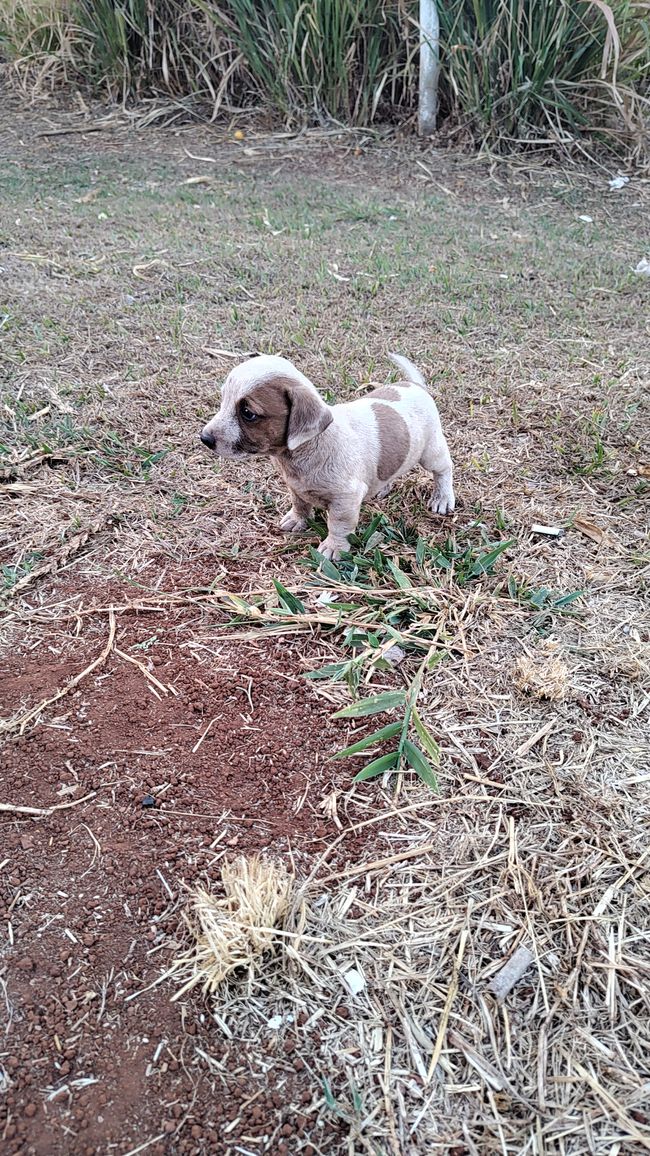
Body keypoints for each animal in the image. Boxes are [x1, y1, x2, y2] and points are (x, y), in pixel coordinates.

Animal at [200, 351, 453, 559]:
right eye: (223, 400)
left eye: (248, 413)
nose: (204, 438)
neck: (304, 450)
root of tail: (414, 385)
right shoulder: (295, 486)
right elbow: (300, 503)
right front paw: (298, 519)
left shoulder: (345, 499)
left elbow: (339, 525)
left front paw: (334, 547)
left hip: (431, 451)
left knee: (444, 469)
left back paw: (442, 498)